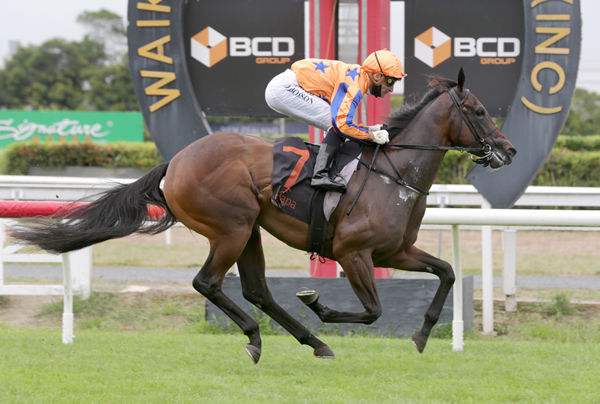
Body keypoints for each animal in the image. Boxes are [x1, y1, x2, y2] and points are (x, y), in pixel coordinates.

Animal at [9, 69, 516, 362]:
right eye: (477, 110)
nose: (508, 150)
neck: (394, 174)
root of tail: (176, 161)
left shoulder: (397, 251)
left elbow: (447, 272)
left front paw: (422, 335)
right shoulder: (354, 253)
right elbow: (372, 311)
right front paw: (318, 303)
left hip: (249, 229)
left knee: (256, 289)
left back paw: (312, 343)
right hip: (230, 228)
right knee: (208, 283)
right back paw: (258, 337)